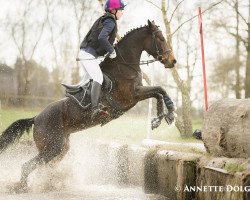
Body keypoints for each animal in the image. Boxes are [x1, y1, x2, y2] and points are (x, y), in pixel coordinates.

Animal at [0, 19, 176, 192]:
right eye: (161, 38)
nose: (172, 61)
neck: (125, 65)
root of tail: (36, 118)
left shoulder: (136, 95)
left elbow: (159, 92)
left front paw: (165, 116)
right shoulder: (132, 96)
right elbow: (159, 90)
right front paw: (165, 115)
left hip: (60, 149)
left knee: (44, 167)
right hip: (53, 147)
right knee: (27, 166)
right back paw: (20, 187)